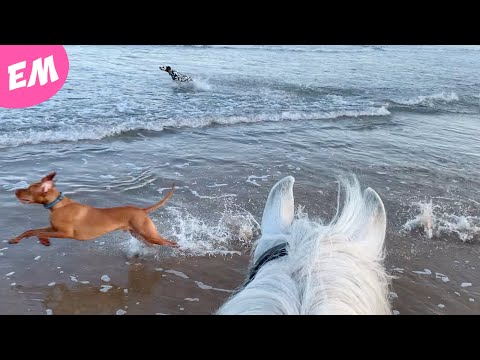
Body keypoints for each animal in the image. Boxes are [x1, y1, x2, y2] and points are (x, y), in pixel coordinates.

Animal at [9, 172, 178, 248]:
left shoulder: (65, 233)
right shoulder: (53, 228)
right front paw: (15, 239)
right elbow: (31, 230)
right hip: (138, 234)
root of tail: (141, 210)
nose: (15, 191)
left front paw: (44, 240)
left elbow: (38, 232)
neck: (58, 205)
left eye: (29, 189)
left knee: (171, 242)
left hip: (148, 234)